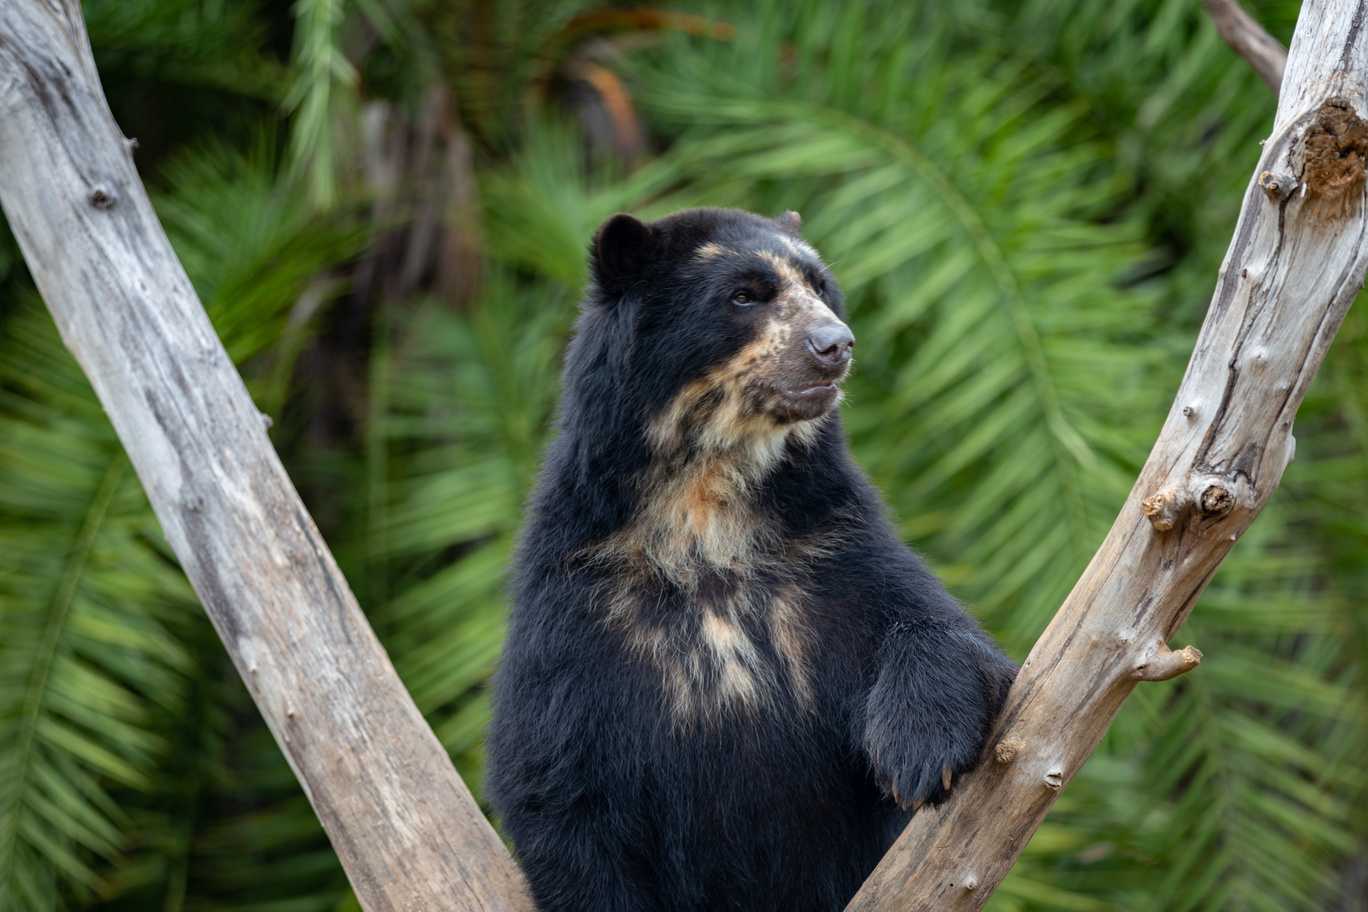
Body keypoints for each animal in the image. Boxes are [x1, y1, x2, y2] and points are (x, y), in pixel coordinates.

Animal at [485, 207, 1017, 912]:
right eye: (743, 296)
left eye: (820, 286)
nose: (835, 344)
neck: (706, 509)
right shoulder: (577, 603)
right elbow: (555, 783)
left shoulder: (829, 544)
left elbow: (940, 630)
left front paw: (917, 753)